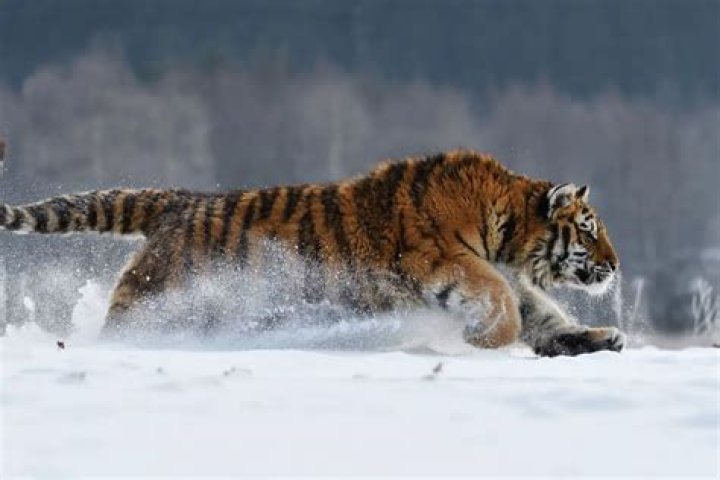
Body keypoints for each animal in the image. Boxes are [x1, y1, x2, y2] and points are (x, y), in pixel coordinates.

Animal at [0, 150, 624, 356]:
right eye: (589, 229)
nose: (617, 266)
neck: (509, 233)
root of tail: (176, 200)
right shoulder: (443, 262)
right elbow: (505, 307)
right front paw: (481, 340)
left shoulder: (507, 277)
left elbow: (544, 316)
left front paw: (599, 339)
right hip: (157, 299)